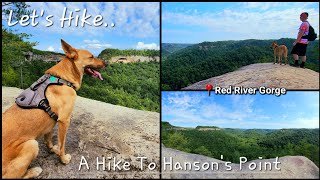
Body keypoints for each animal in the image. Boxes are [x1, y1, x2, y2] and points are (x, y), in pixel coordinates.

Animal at [1, 39, 107, 179]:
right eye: (91, 57)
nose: (107, 63)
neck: (63, 79)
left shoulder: (50, 124)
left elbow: (49, 140)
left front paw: (52, 149)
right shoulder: (64, 121)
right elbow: (62, 145)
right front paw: (63, 159)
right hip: (31, 145)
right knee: (13, 175)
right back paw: (34, 171)